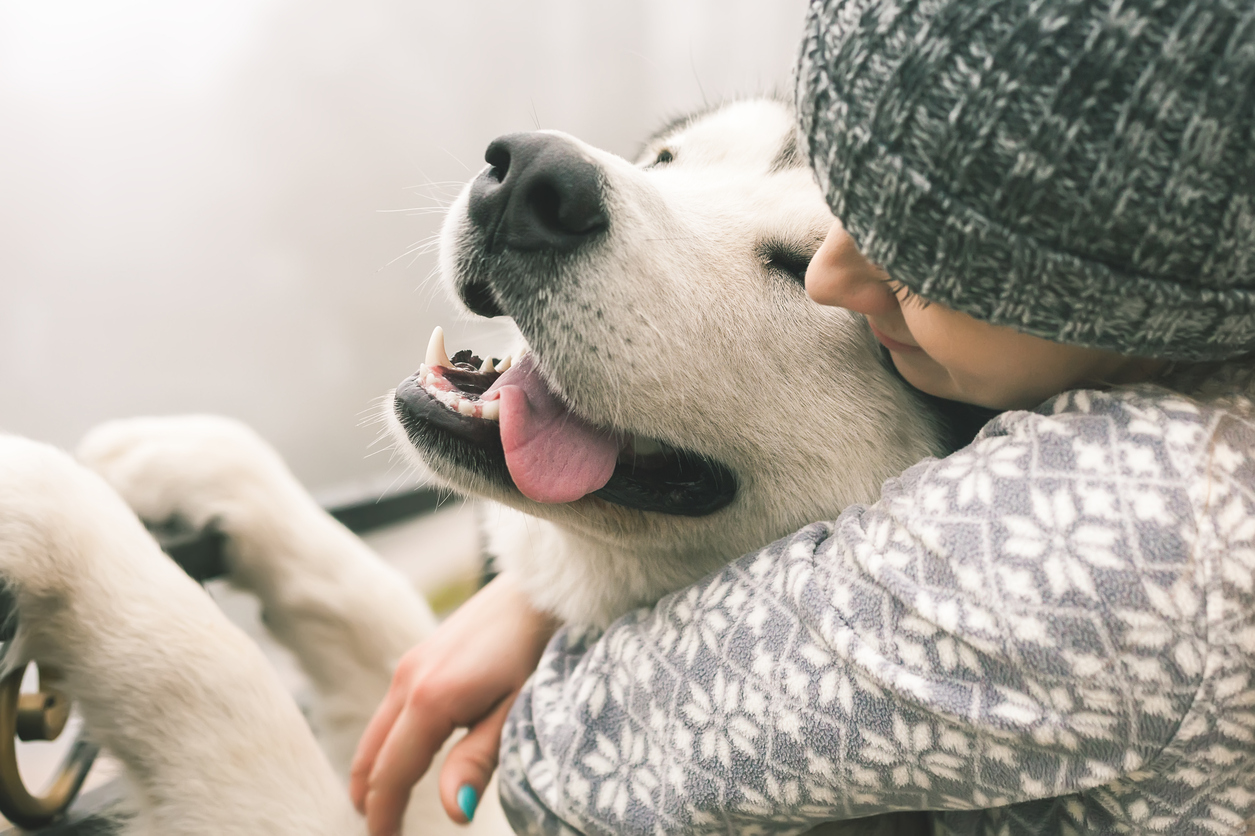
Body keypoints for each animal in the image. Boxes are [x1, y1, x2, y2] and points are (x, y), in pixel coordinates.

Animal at [0, 99, 948, 833]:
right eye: (667, 160)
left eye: (802, 267)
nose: (533, 177)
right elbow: (372, 606)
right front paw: (197, 461)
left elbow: (216, 683)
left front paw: (47, 504)